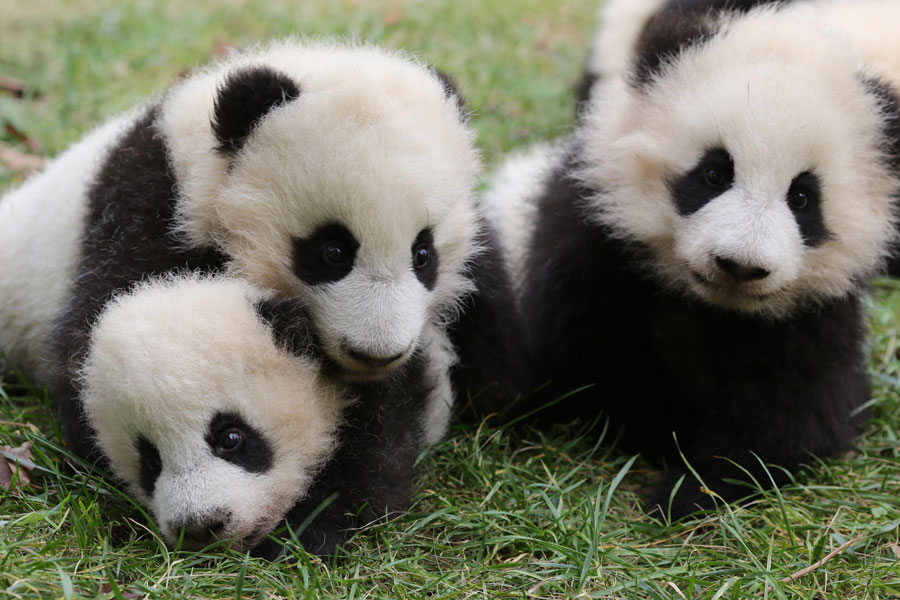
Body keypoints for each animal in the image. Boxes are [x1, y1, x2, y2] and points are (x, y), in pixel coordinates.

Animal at [485, 1, 900, 517]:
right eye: (714, 173)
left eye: (803, 197)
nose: (740, 265)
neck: (709, 305)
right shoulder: (589, 249)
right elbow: (579, 354)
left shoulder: (815, 311)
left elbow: (797, 415)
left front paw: (692, 489)